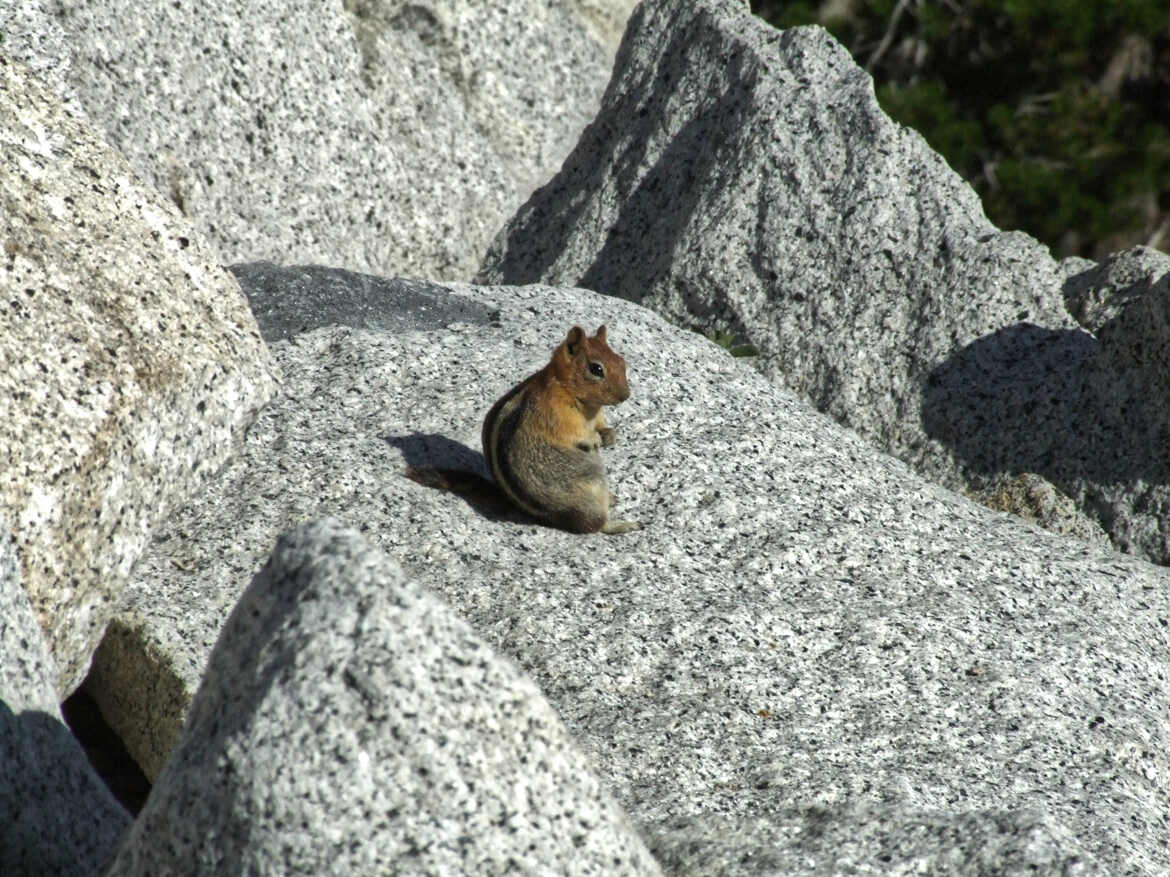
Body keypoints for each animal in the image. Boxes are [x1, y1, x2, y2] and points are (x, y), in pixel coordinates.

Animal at [404, 325, 641, 535]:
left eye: (621, 361)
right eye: (596, 369)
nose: (626, 396)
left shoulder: (597, 415)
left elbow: (602, 425)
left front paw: (610, 435)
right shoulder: (557, 415)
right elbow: (574, 434)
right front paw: (594, 440)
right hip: (591, 486)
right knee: (594, 526)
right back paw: (622, 525)